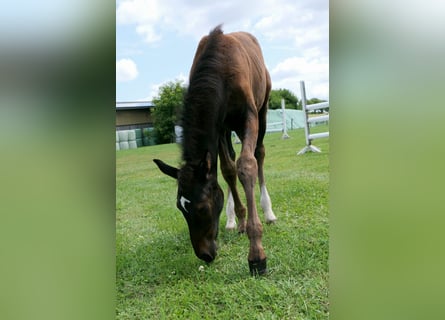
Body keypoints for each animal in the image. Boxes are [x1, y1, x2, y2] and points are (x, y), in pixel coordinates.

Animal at [154, 25, 276, 276]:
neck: (220, 69)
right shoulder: (218, 127)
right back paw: (231, 220)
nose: (205, 254)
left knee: (259, 154)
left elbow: (246, 165)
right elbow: (228, 170)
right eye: (180, 208)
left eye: (202, 208)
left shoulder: (248, 115)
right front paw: (240, 219)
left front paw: (257, 255)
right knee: (230, 161)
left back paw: (268, 212)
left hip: (263, 109)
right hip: (229, 128)